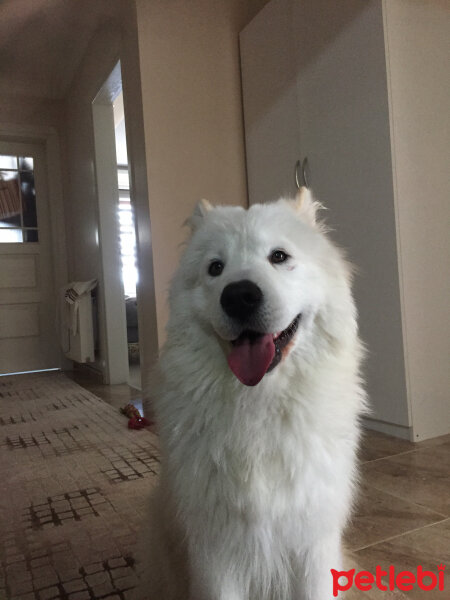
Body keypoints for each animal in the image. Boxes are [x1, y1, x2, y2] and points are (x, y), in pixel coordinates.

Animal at [142, 189, 368, 600]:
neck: (258, 404)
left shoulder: (313, 544)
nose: (239, 296)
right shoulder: (216, 555)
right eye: (216, 268)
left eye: (279, 256)